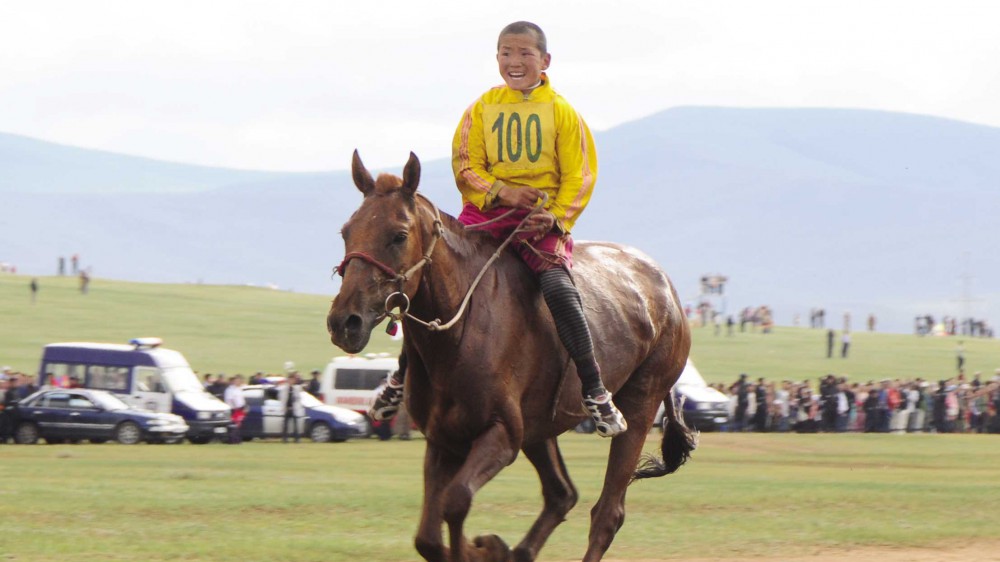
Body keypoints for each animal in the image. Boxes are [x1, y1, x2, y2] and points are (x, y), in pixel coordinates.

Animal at [328, 152, 696, 560]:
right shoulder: (444, 440)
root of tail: (667, 290)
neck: (459, 332)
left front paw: (483, 548)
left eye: (399, 235)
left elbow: (455, 502)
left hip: (640, 404)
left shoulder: (501, 435)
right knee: (561, 494)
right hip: (539, 428)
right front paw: (490, 548)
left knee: (607, 513)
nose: (345, 322)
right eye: (346, 232)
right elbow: (428, 536)